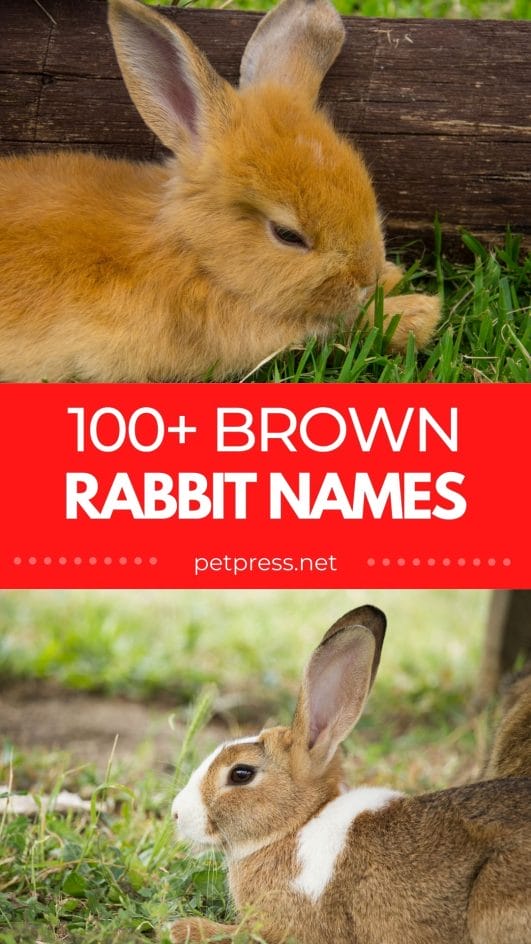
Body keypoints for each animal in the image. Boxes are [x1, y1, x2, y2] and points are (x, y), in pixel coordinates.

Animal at [0, 0, 440, 382]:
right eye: (287, 235)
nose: (366, 274)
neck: (193, 253)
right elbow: (337, 330)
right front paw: (420, 313)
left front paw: (393, 280)